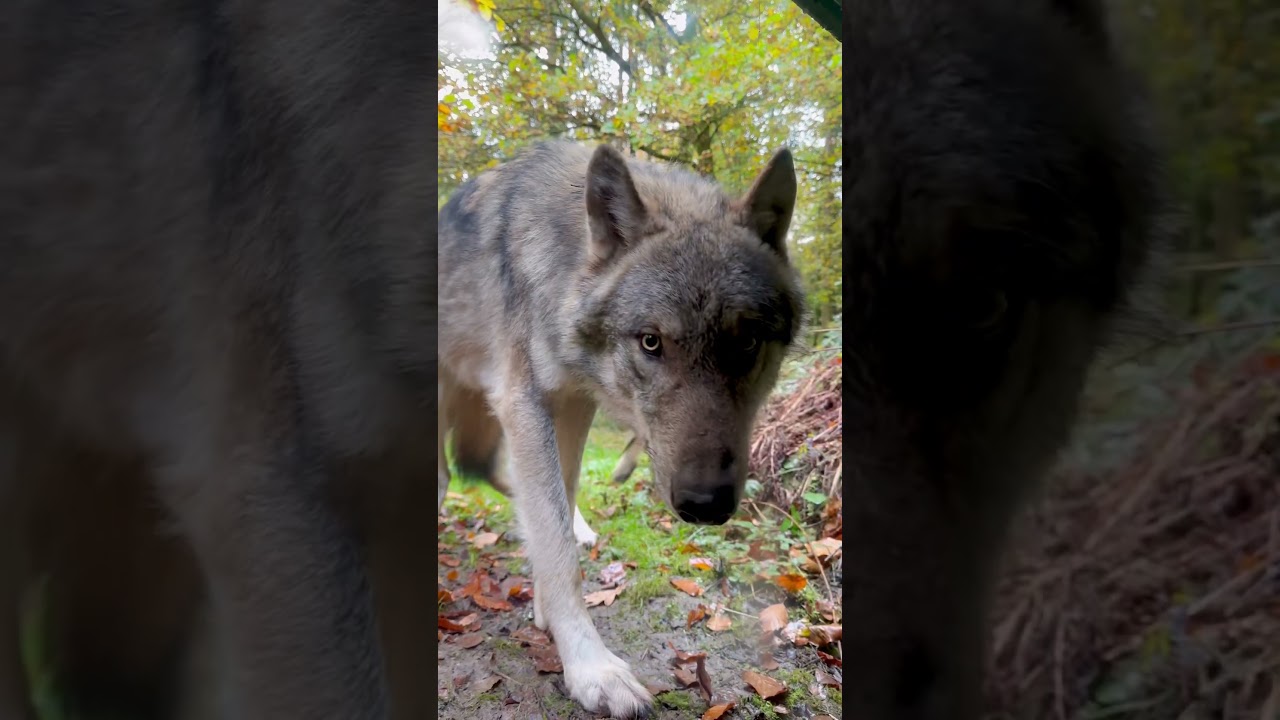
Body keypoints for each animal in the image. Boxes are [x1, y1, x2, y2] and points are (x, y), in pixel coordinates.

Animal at [437, 140, 804, 718]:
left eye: (745, 343)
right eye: (651, 342)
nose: (705, 504)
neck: (566, 267)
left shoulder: (573, 401)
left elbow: (558, 506)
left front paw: (547, 607)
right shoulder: (524, 401)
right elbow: (555, 544)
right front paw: (591, 668)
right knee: (445, 477)